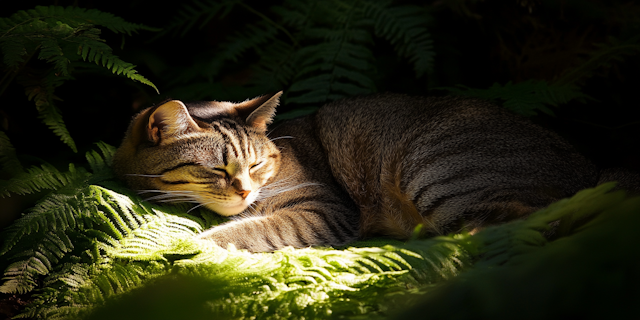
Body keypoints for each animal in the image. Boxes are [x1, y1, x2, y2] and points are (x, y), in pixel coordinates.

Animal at [111, 92, 600, 252]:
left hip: (433, 166)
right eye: (216, 169)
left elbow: (247, 231)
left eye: (256, 164)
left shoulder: (324, 209)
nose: (246, 192)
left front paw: (190, 245)